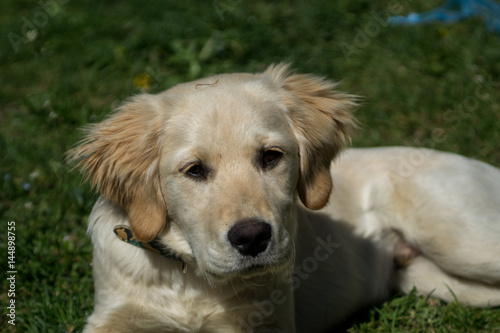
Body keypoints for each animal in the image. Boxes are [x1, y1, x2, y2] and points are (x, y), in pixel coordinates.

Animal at [69, 63, 500, 330]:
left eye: (271, 156)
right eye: (194, 170)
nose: (252, 238)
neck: (189, 276)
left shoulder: (265, 319)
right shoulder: (113, 313)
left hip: (458, 238)